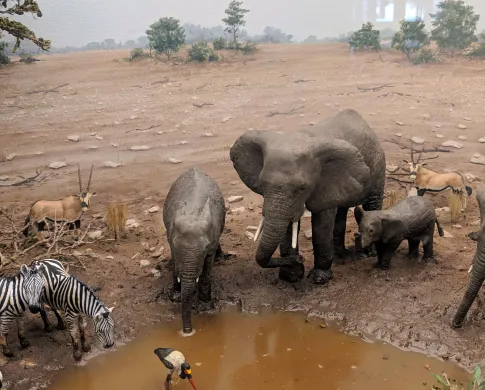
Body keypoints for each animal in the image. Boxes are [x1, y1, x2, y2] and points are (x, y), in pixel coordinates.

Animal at [161, 168, 225, 336]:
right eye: (175, 246)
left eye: (204, 249)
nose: (187, 331)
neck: (193, 212)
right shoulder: (171, 237)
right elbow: (175, 262)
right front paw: (176, 296)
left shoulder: (212, 241)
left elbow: (207, 269)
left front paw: (205, 306)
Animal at [229, 108, 384, 284]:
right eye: (262, 184)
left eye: (302, 188)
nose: (301, 259)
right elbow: (288, 225)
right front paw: (291, 276)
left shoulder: (323, 182)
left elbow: (322, 223)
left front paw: (319, 279)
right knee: (341, 212)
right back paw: (340, 257)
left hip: (378, 166)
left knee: (372, 204)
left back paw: (368, 253)